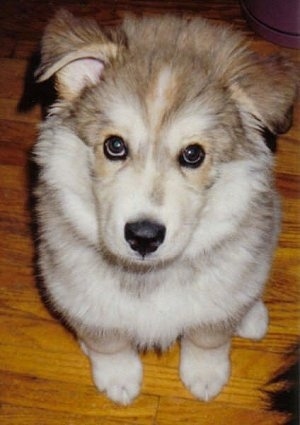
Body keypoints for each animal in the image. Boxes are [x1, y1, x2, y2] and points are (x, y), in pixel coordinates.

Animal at [34, 10, 296, 404]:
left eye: (193, 154)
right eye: (114, 146)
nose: (143, 237)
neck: (149, 275)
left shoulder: (221, 293)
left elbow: (208, 335)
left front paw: (205, 374)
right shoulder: (73, 287)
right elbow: (108, 340)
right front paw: (118, 377)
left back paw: (251, 316)